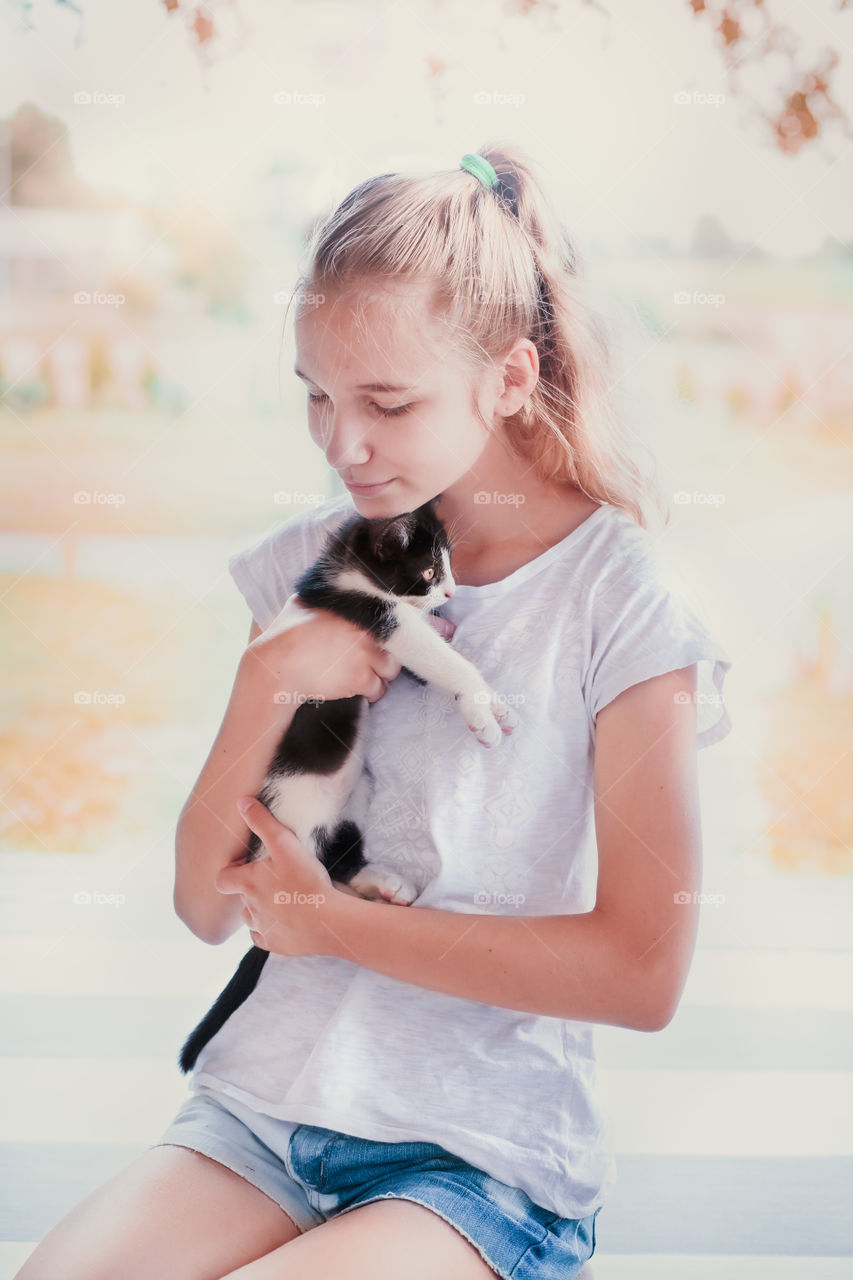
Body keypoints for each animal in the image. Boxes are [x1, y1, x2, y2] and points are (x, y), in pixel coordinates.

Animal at [175, 494, 514, 1075]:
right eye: (428, 571)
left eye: (448, 564)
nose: (450, 593)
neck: (354, 572)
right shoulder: (374, 617)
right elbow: (439, 657)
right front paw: (484, 710)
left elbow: (433, 659)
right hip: (298, 809)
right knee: (323, 873)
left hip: (355, 799)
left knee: (340, 861)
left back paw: (384, 884)